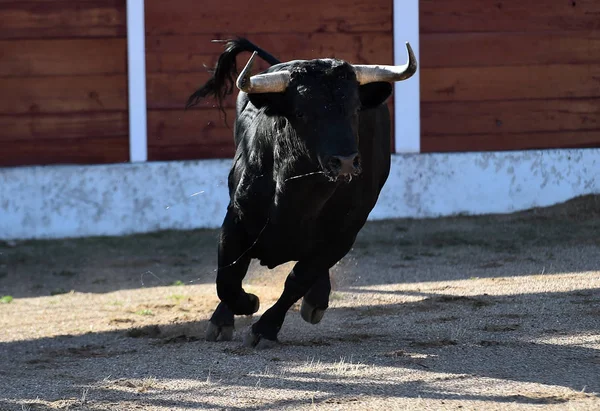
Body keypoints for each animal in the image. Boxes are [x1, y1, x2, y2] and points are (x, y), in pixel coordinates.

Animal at [184, 37, 418, 350]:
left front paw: (265, 329)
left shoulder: (344, 233)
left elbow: (298, 279)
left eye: (355, 109)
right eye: (302, 113)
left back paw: (316, 300)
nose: (345, 161)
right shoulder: (236, 219)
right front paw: (240, 308)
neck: (298, 194)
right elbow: (228, 277)